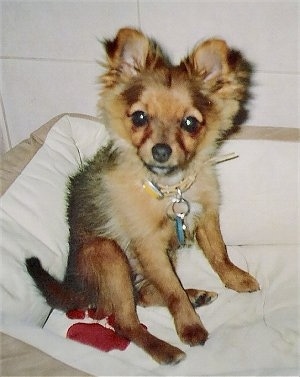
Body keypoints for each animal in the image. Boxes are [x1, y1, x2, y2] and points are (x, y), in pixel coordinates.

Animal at [26, 27, 260, 362]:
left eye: (190, 123)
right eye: (139, 117)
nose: (161, 150)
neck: (169, 188)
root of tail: (75, 288)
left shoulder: (205, 216)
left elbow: (219, 254)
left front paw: (236, 279)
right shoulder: (148, 246)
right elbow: (172, 292)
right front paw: (190, 327)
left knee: (146, 295)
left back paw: (196, 295)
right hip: (109, 255)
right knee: (126, 320)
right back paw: (164, 348)